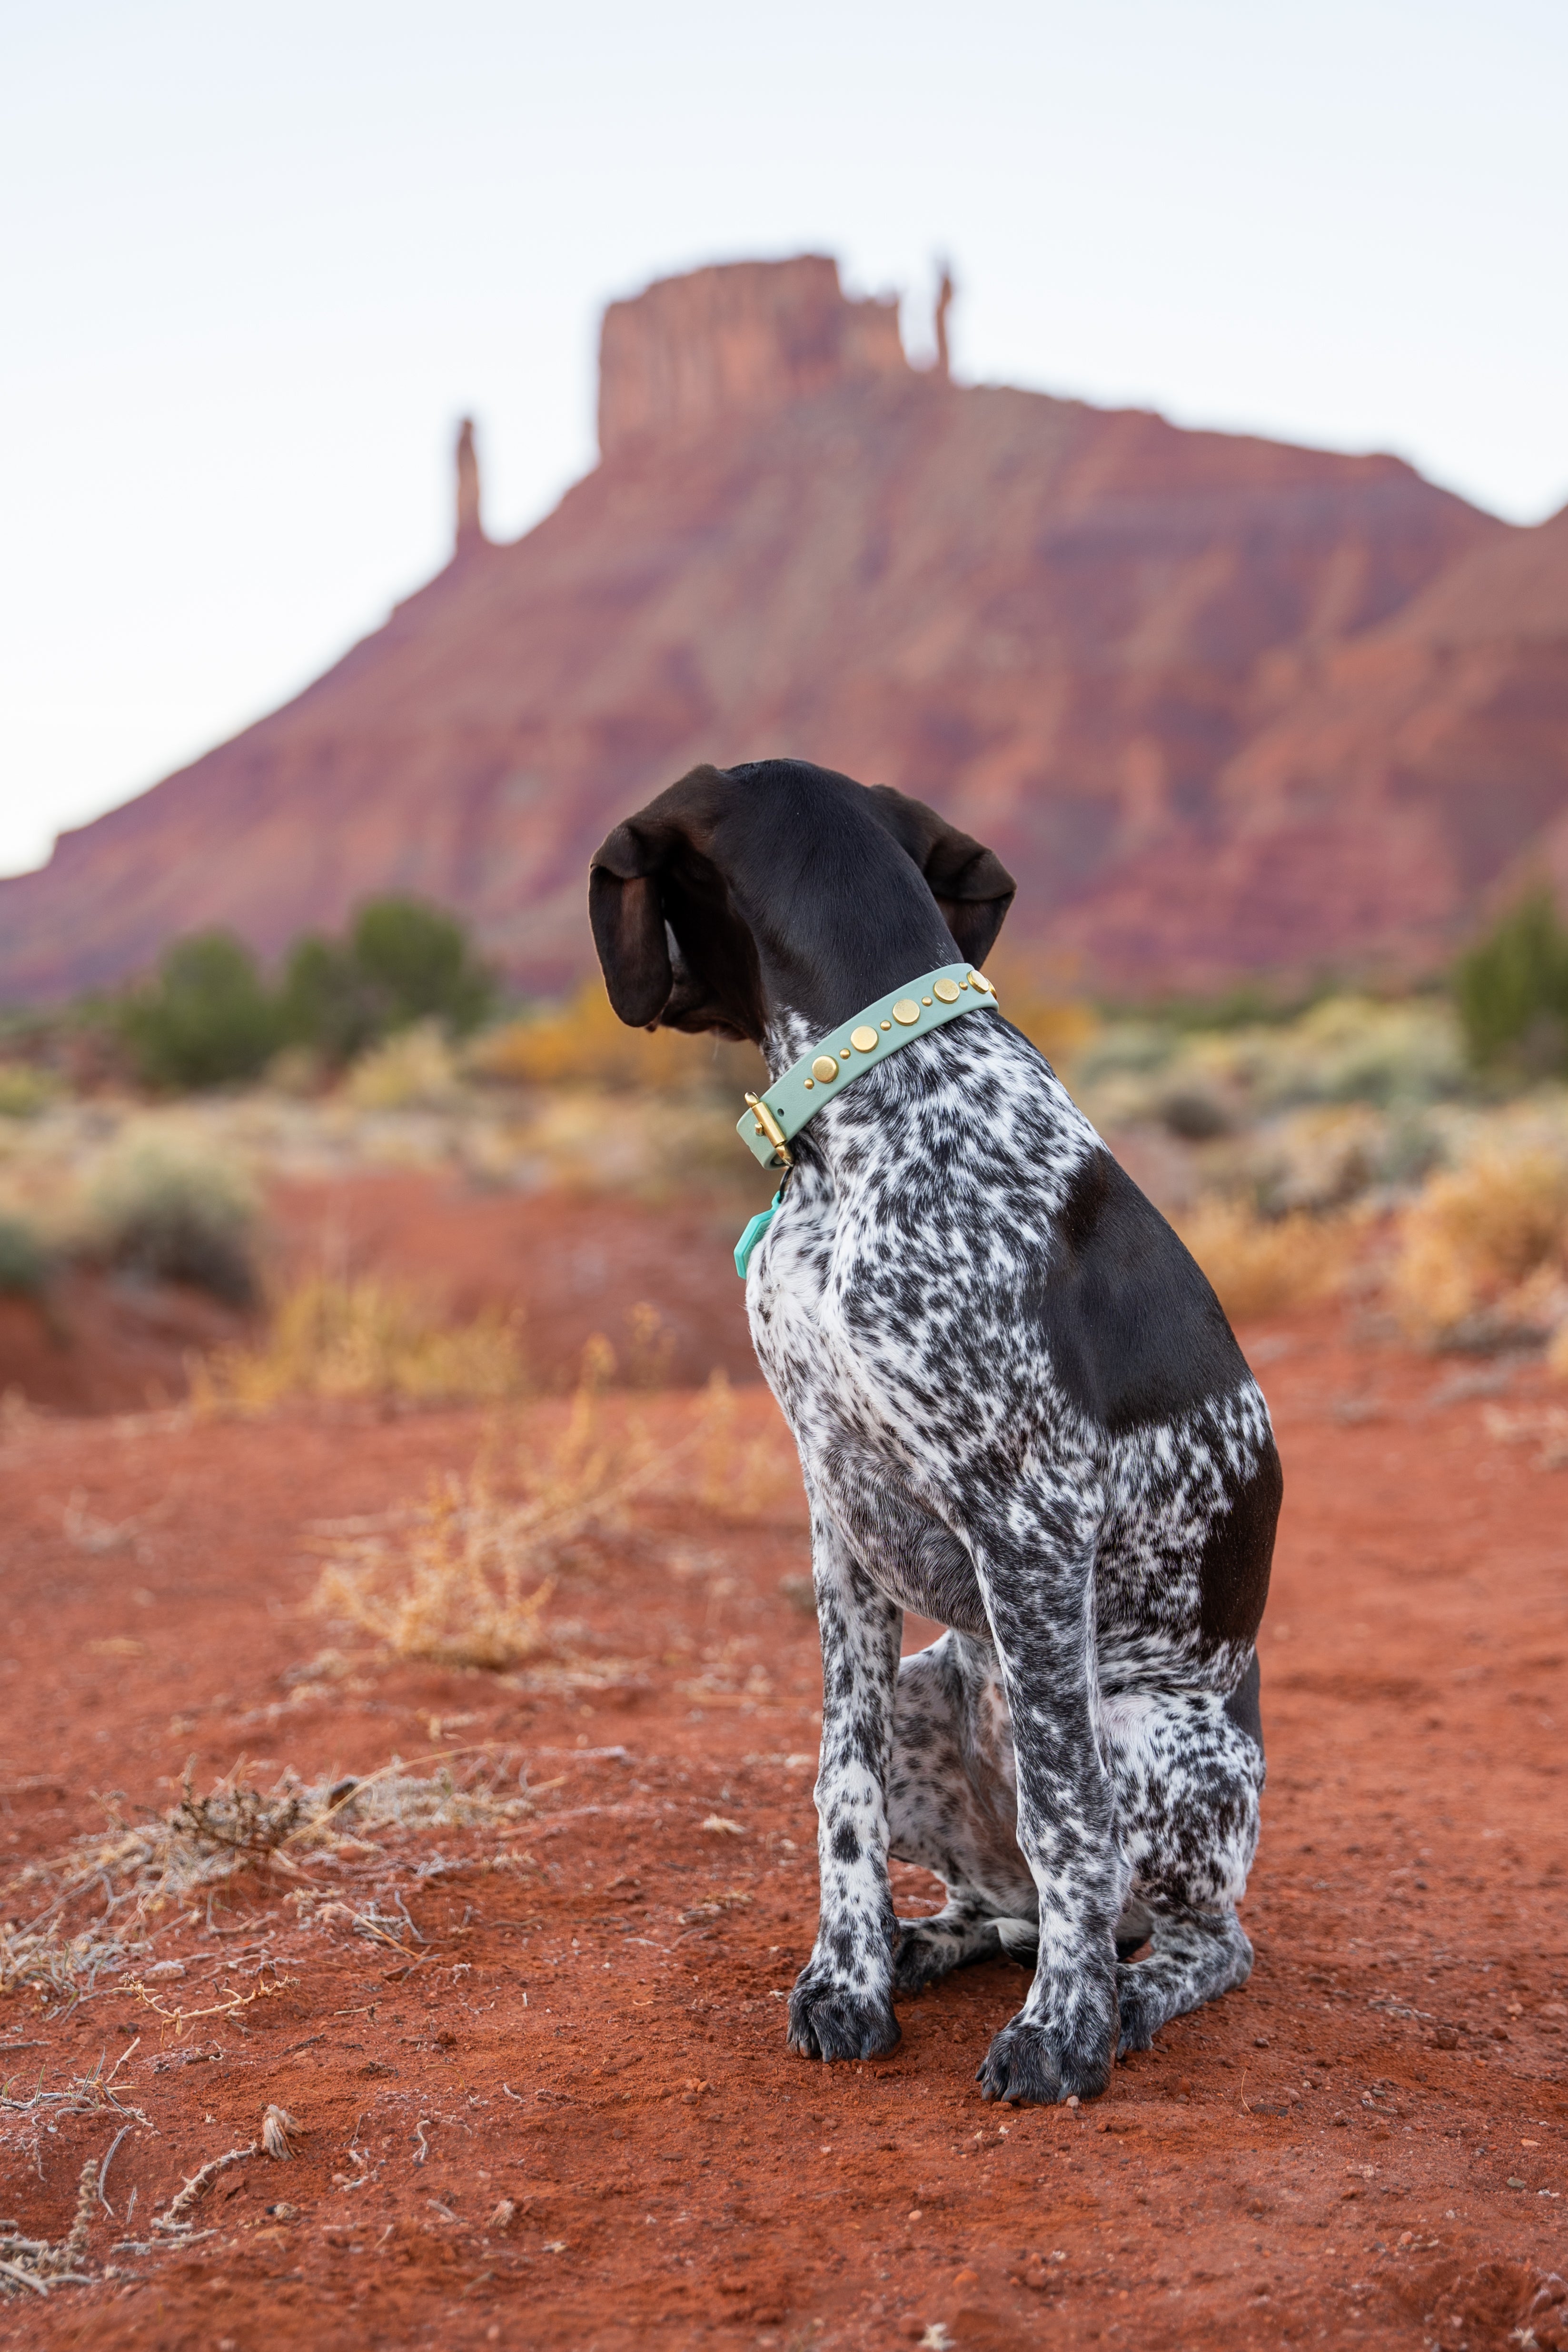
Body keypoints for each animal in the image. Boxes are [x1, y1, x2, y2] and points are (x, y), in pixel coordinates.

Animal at [587, 762, 1279, 2107]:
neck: (871, 1107)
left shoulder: (1028, 1513)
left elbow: (1068, 1815)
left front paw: (1061, 2032)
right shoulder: (838, 1508)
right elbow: (835, 1783)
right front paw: (848, 1975)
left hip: (1149, 1735)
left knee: (1184, 1929)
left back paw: (1122, 1994)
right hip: (929, 1686)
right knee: (1002, 1903)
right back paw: (928, 1942)